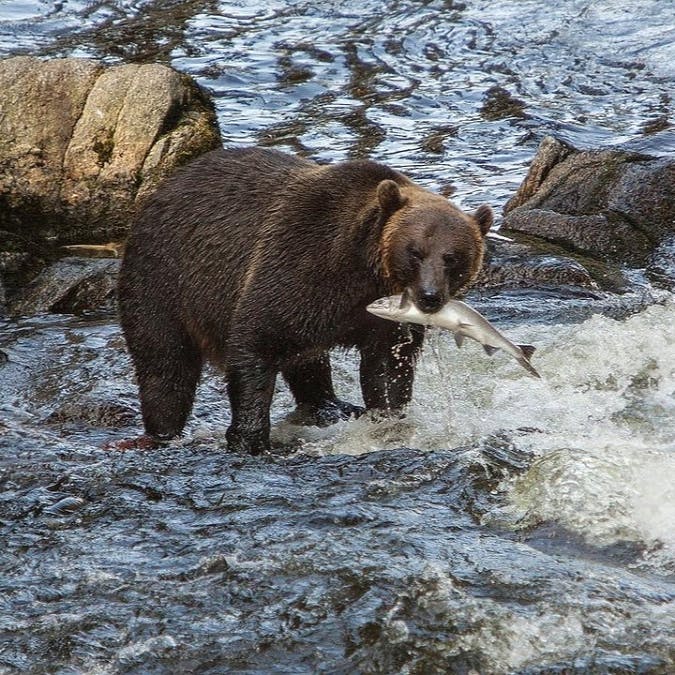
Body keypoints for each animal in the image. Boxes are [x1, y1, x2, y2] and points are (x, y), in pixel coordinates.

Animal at [119, 147, 494, 454]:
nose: (429, 297)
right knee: (164, 360)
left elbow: (388, 368)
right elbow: (255, 341)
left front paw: (388, 417)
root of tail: (162, 189)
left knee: (307, 359)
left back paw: (330, 405)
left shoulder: (383, 321)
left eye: (453, 258)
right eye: (415, 252)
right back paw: (162, 430)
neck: (364, 272)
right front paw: (249, 438)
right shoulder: (301, 260)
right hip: (163, 277)